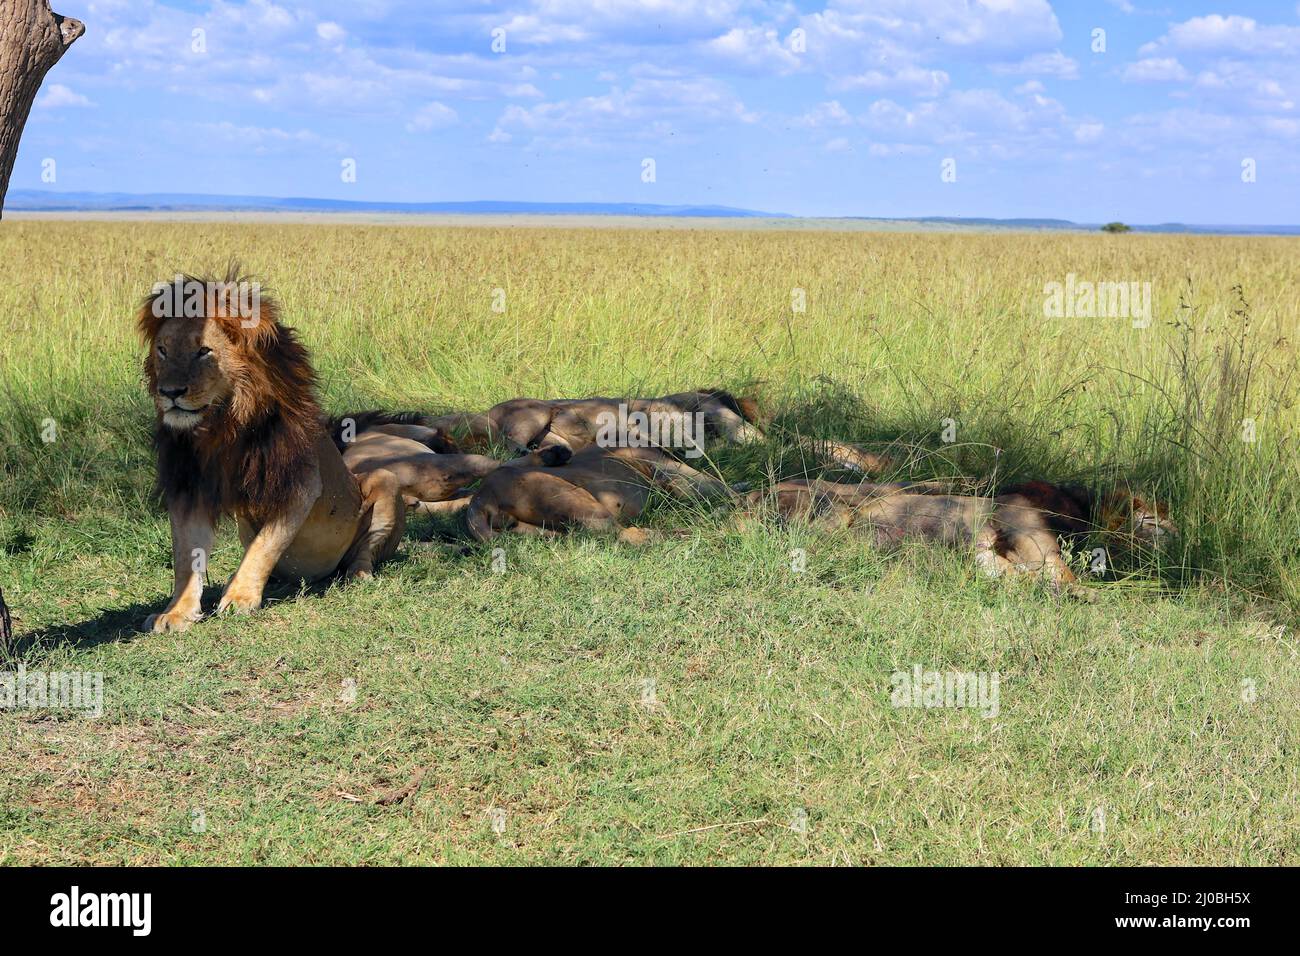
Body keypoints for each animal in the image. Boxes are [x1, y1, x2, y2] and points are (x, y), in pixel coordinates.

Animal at [137, 270, 499, 632]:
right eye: (163, 351)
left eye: (204, 351)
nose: (169, 392)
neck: (223, 426)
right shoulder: (189, 490)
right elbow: (187, 557)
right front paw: (177, 612)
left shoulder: (300, 485)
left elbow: (265, 546)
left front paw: (240, 597)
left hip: (383, 482)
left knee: (365, 553)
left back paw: (357, 575)